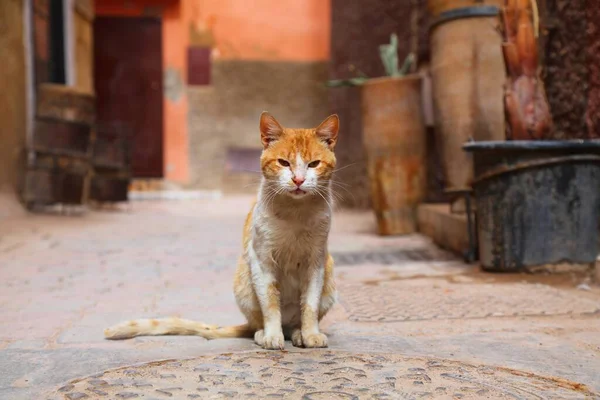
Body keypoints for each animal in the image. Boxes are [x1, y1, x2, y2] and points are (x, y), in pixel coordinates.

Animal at [105, 112, 340, 350]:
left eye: (314, 164)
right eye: (283, 162)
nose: (298, 180)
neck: (296, 212)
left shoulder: (316, 261)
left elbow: (309, 304)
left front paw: (310, 334)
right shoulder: (261, 259)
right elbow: (270, 303)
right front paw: (272, 335)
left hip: (329, 276)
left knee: (294, 323)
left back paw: (298, 333)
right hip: (244, 279)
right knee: (258, 322)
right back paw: (263, 333)